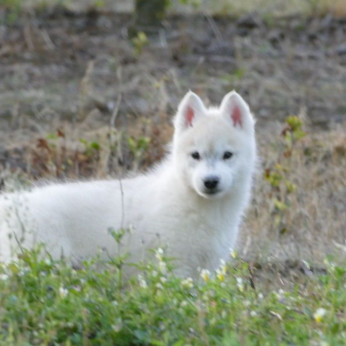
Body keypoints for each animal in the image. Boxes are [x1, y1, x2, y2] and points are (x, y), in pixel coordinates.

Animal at [0, 90, 256, 278]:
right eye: (195, 155)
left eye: (227, 155)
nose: (210, 182)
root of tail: (10, 204)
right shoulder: (175, 267)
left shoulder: (207, 269)